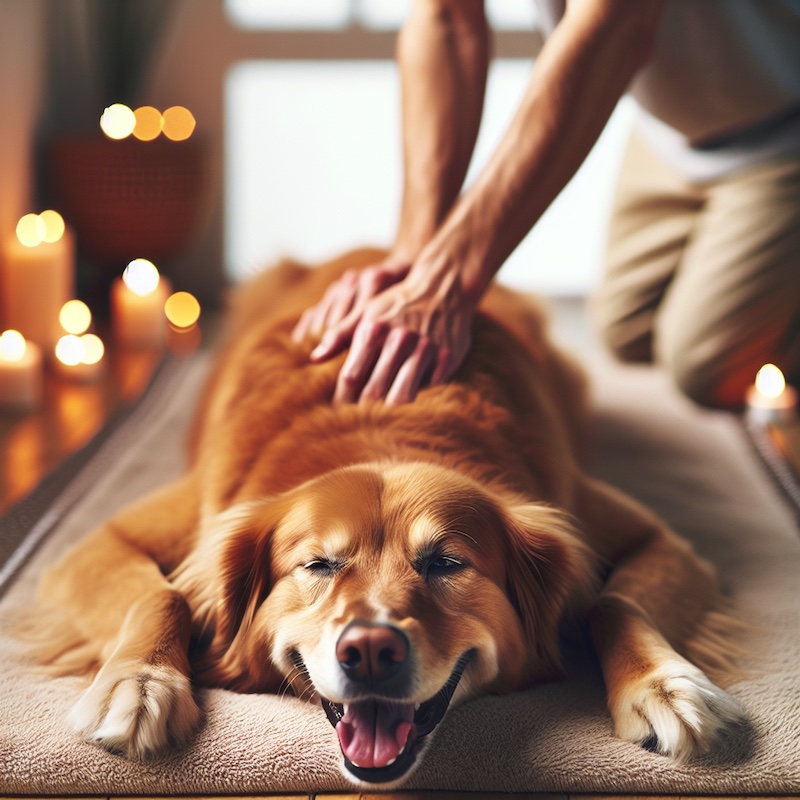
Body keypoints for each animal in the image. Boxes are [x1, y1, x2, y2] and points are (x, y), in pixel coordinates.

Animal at [23, 248, 744, 780]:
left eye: (448, 563)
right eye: (317, 564)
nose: (370, 650)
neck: (382, 431)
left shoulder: (645, 533)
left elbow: (610, 600)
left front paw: (665, 685)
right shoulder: (109, 536)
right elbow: (163, 594)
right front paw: (140, 683)